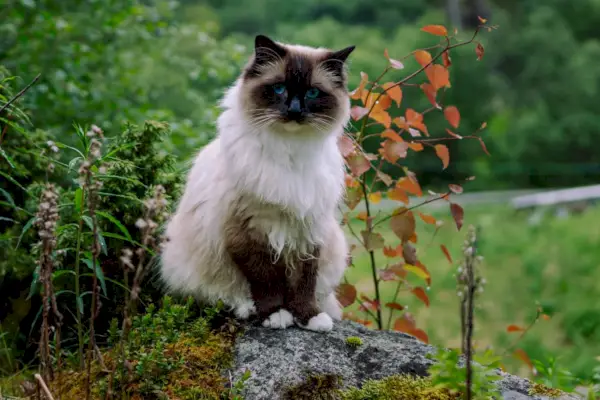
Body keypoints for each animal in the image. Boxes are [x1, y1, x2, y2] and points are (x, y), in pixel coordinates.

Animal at [161, 34, 356, 332]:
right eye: (278, 89)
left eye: (312, 93)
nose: (294, 110)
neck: (290, 151)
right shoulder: (247, 232)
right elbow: (266, 280)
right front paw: (275, 315)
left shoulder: (308, 229)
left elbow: (304, 283)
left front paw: (309, 317)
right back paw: (246, 308)